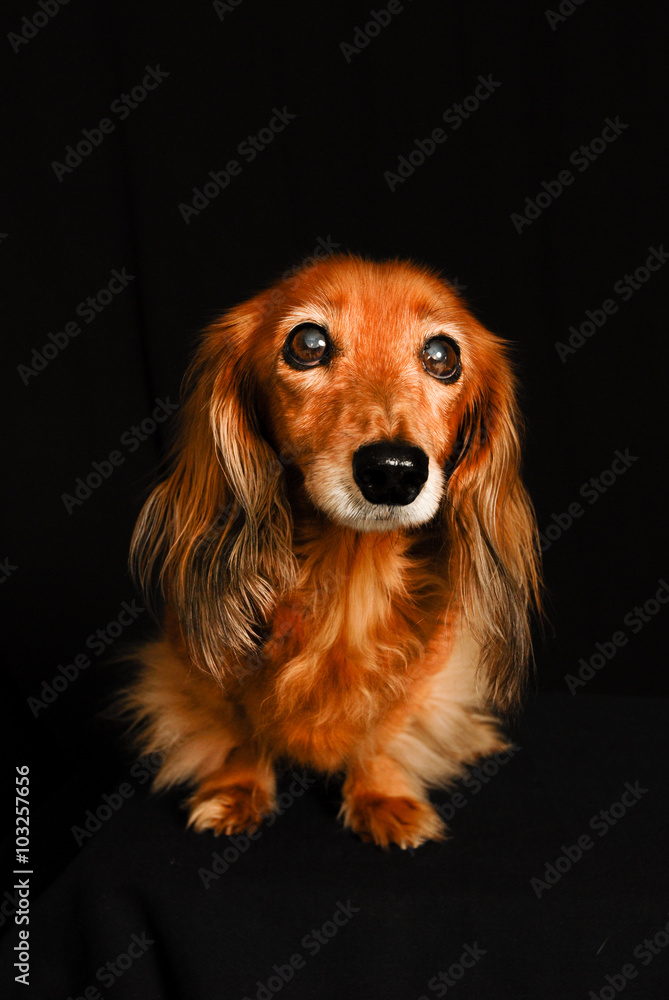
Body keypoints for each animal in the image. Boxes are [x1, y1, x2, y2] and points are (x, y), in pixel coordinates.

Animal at [126, 254, 544, 848]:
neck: (347, 574)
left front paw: (381, 794)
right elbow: (240, 728)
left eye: (442, 355)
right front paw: (237, 789)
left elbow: (384, 728)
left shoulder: (423, 671)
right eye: (308, 343)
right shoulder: (200, 663)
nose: (393, 471)